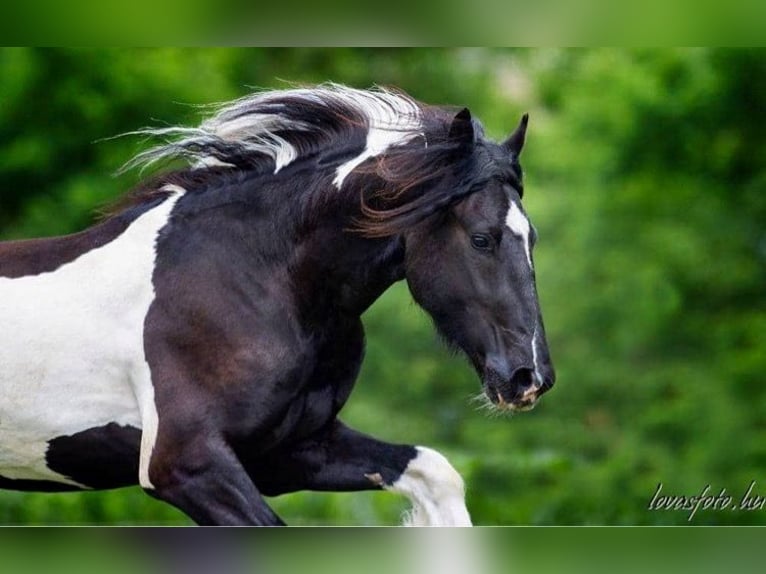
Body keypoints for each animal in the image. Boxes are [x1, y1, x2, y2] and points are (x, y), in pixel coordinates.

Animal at [0, 84, 555, 525]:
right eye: (482, 239)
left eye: (533, 238)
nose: (530, 378)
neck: (259, 279)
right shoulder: (183, 462)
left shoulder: (290, 452)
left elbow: (437, 475)